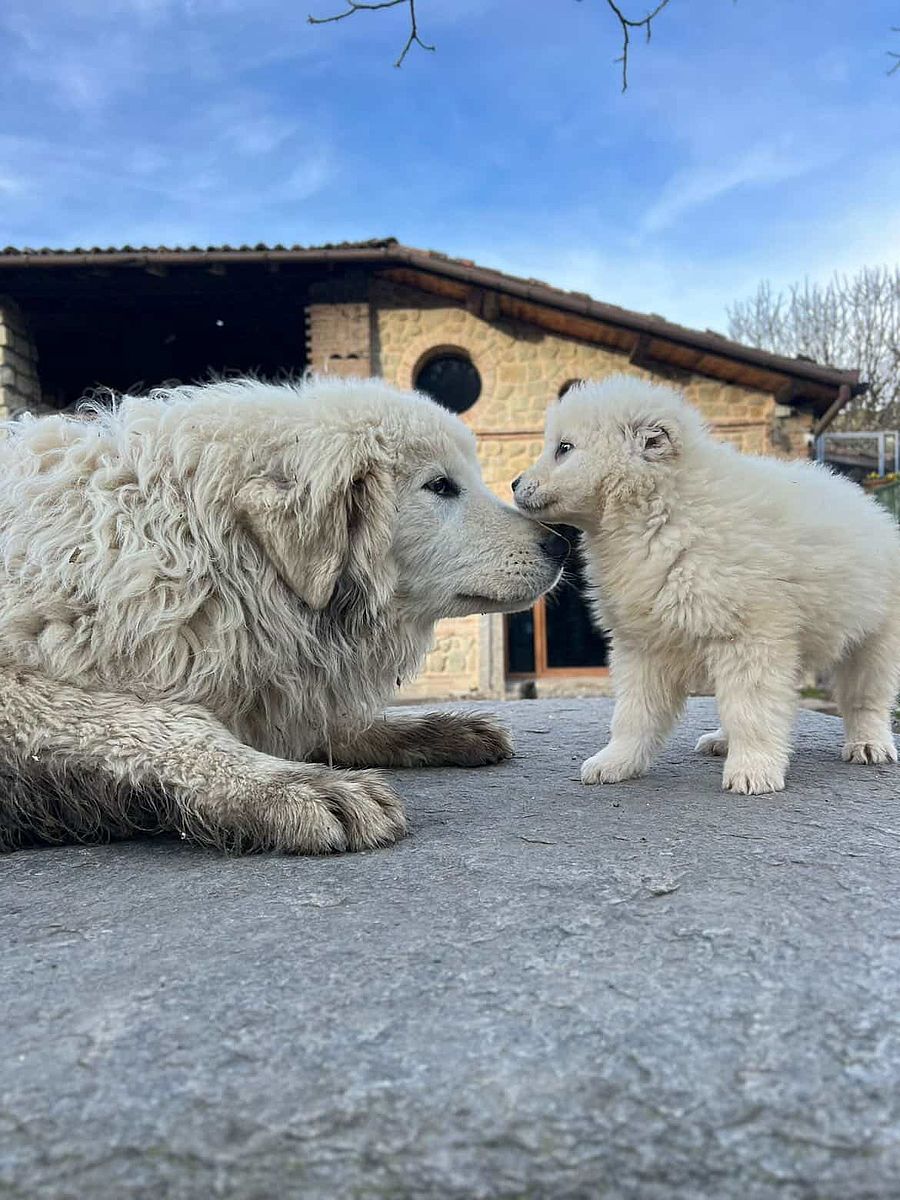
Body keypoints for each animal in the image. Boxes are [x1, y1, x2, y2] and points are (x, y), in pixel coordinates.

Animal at [0, 376, 568, 852]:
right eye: (440, 486)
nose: (560, 546)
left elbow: (329, 722)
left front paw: (434, 729)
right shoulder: (23, 689)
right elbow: (159, 721)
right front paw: (283, 785)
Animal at [512, 375, 900, 795]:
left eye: (564, 448)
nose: (514, 483)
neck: (660, 511)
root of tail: (870, 505)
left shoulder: (749, 636)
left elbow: (751, 708)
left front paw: (753, 770)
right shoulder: (643, 644)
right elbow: (634, 712)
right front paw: (615, 762)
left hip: (874, 637)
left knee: (866, 696)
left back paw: (869, 744)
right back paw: (722, 740)